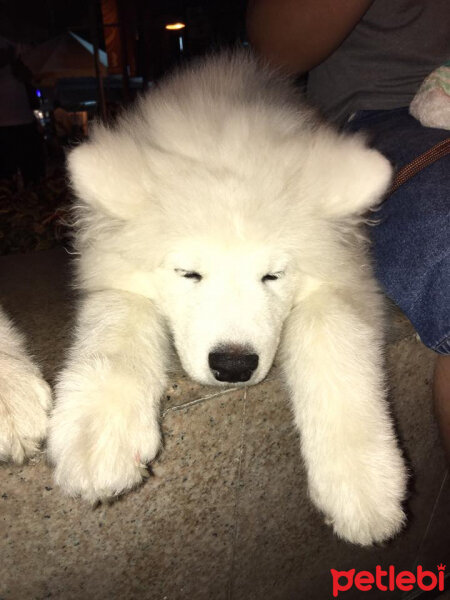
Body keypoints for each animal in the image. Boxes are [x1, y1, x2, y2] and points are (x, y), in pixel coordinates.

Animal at [46, 54, 408, 548]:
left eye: (273, 275)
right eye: (188, 273)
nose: (234, 366)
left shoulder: (347, 284)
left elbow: (333, 339)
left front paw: (363, 482)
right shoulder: (118, 285)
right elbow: (117, 322)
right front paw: (97, 429)